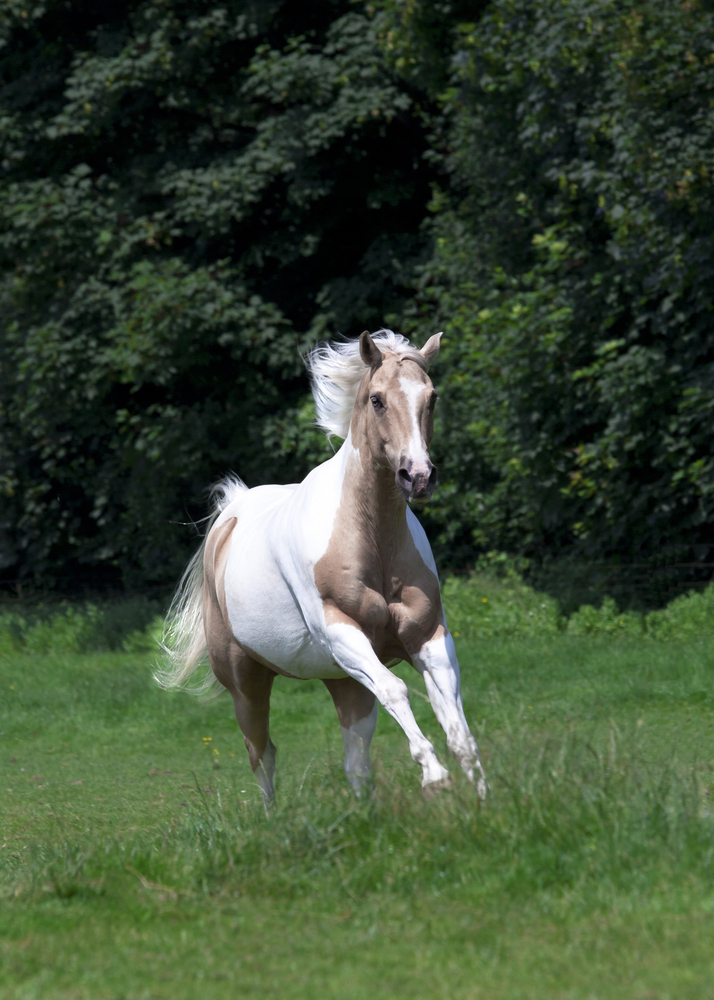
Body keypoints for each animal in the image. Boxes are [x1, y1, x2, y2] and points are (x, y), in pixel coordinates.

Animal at [157, 329, 486, 804]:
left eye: (432, 397)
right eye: (377, 400)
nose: (419, 477)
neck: (371, 540)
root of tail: (230, 514)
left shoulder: (428, 637)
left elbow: (453, 716)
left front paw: (481, 795)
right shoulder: (341, 632)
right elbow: (397, 690)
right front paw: (434, 774)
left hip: (344, 682)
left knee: (356, 765)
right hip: (247, 683)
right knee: (262, 753)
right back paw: (274, 817)